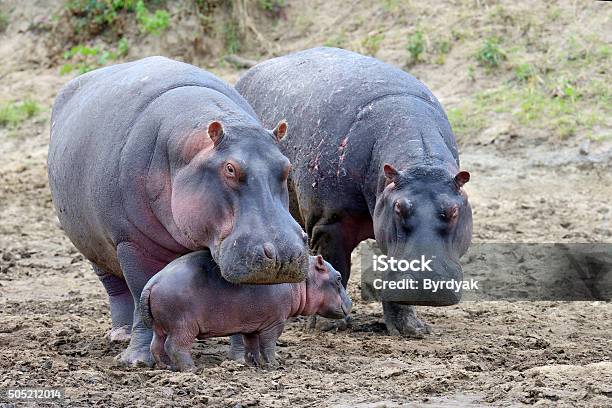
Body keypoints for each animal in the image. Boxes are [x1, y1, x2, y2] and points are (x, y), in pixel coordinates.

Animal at [47, 55, 308, 364]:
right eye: (230, 168)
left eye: (287, 166)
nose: (284, 254)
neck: (188, 152)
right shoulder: (132, 243)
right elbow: (140, 292)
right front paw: (137, 360)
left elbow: (241, 295)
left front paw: (238, 359)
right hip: (94, 248)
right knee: (116, 289)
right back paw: (120, 335)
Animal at [137, 250, 350, 372]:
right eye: (338, 278)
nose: (351, 303)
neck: (301, 282)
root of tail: (152, 283)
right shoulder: (274, 323)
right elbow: (269, 345)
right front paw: (274, 365)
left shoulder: (254, 325)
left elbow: (252, 345)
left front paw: (252, 364)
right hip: (182, 326)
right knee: (175, 346)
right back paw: (192, 370)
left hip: (160, 327)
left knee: (156, 346)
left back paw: (166, 366)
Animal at [235, 47, 474, 334]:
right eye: (399, 208)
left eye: (453, 210)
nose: (425, 284)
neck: (421, 162)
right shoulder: (331, 223)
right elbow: (336, 265)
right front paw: (327, 327)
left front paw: (411, 330)